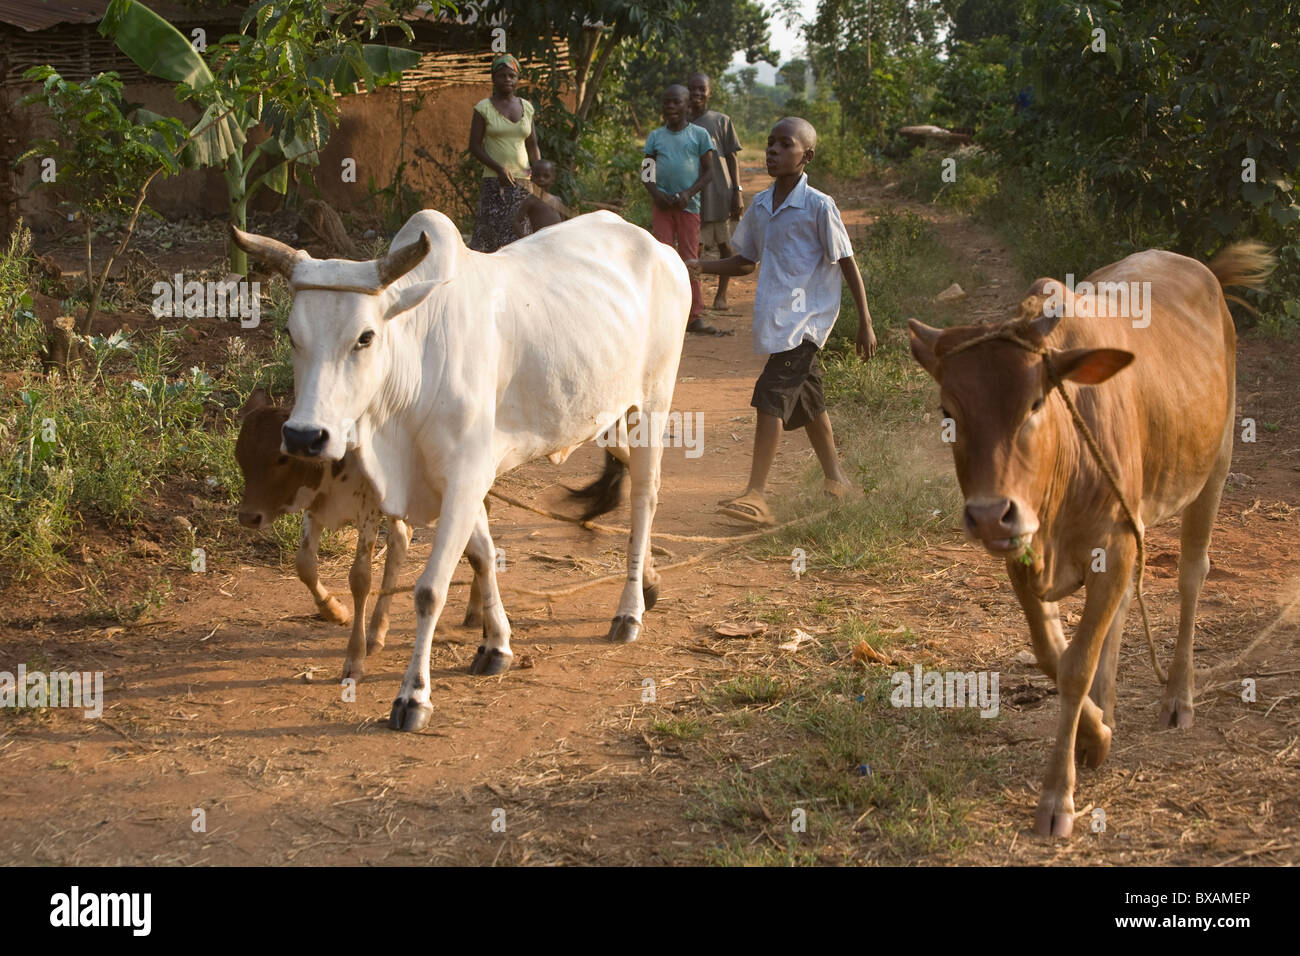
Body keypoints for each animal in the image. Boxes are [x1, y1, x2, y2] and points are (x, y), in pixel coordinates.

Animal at [232, 210, 691, 733]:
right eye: (293, 335)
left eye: (365, 337)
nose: (304, 436)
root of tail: (657, 246)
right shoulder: (458, 481)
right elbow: (484, 556)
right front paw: (496, 645)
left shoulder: (465, 477)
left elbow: (430, 590)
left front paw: (413, 696)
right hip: (607, 414)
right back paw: (650, 582)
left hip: (652, 404)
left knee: (644, 498)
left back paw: (629, 612)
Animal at [909, 240, 1274, 837]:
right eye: (948, 411)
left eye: (1035, 403)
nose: (989, 515)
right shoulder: (1026, 552)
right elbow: (1051, 655)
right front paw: (1097, 730)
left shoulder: (1115, 544)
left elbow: (1076, 663)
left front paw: (1058, 795)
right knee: (1123, 610)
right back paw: (1109, 705)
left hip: (1215, 465)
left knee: (1192, 577)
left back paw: (1178, 694)